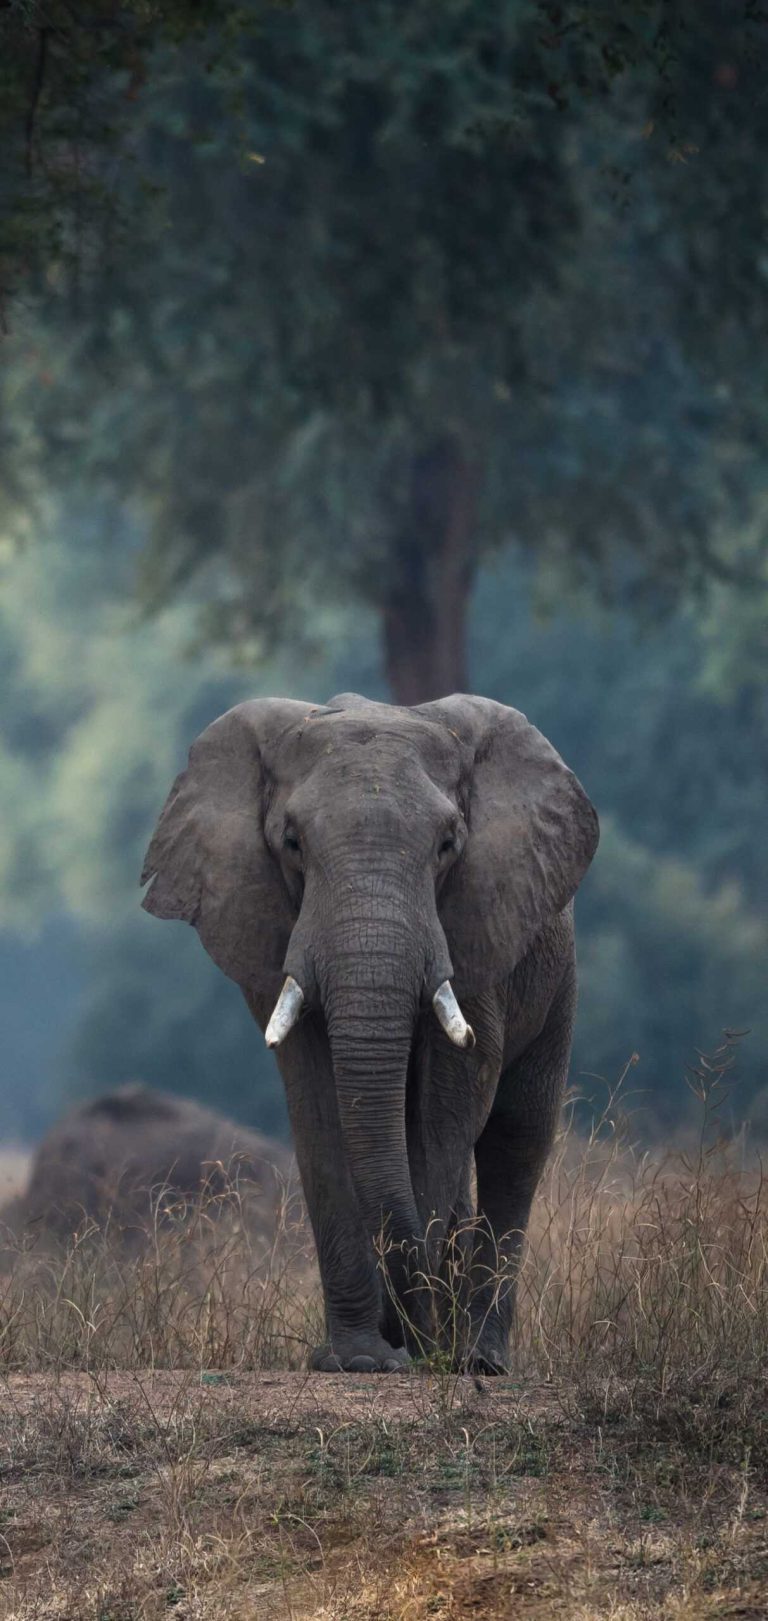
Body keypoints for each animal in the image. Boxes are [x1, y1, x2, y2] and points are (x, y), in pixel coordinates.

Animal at [142, 693, 598, 1372]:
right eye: (292, 842)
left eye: (447, 844)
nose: (403, 1338)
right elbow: (318, 1106)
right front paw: (358, 1359)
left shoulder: (478, 921)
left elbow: (445, 1107)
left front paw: (417, 1342)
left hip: (556, 971)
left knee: (517, 1137)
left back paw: (475, 1358)